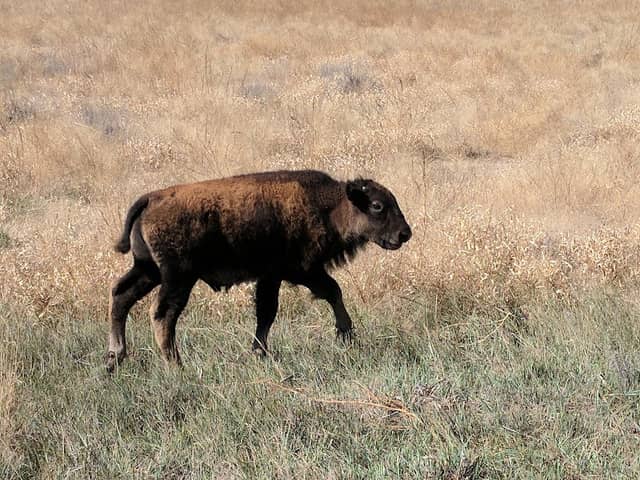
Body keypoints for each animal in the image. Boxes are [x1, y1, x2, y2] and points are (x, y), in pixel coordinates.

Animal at [106, 170, 411, 371]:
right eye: (377, 206)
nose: (404, 234)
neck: (330, 205)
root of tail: (151, 198)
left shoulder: (272, 277)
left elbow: (266, 314)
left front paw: (259, 352)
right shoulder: (300, 271)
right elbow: (330, 292)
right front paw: (346, 334)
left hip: (148, 271)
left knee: (121, 296)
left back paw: (115, 358)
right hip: (177, 277)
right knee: (162, 313)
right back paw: (176, 365)